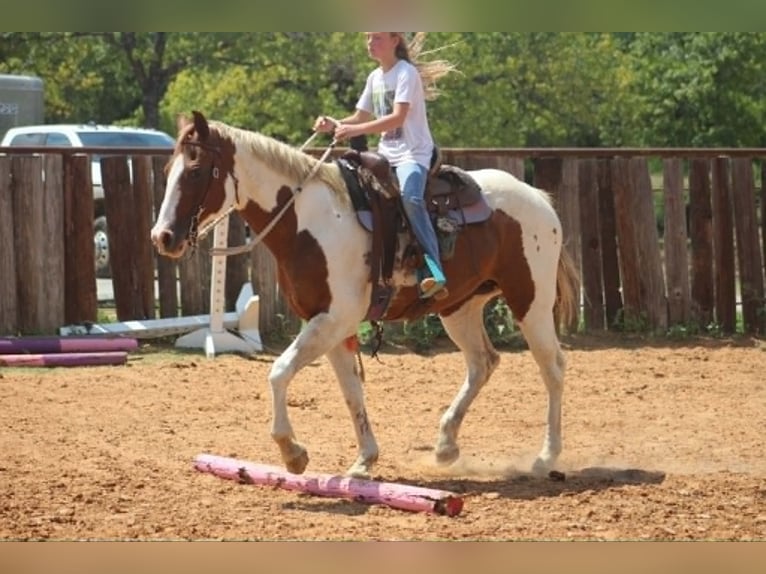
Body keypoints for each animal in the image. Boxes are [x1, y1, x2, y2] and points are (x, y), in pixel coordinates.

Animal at [150, 110, 579, 479]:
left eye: (196, 170)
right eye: (168, 171)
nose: (163, 237)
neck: (309, 221)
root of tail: (538, 198)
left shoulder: (333, 319)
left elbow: (279, 372)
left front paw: (293, 452)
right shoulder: (331, 325)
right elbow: (351, 392)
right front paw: (364, 460)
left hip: (531, 301)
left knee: (553, 368)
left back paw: (546, 456)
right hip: (460, 307)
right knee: (482, 363)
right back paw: (445, 446)